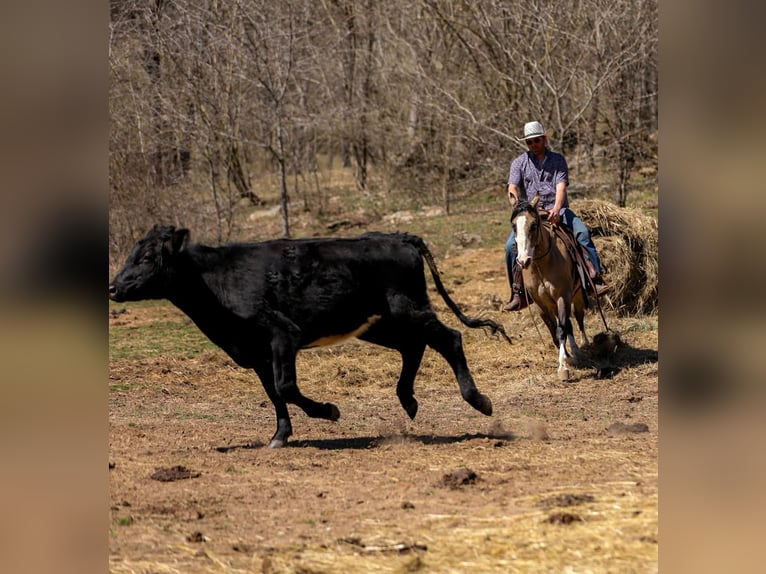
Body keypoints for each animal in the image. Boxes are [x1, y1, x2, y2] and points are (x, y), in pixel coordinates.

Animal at [510, 196, 590, 381]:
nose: (523, 260)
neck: (542, 264)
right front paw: (566, 358)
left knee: (578, 317)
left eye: (533, 224)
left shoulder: (563, 296)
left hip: (576, 296)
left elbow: (561, 330)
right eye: (513, 226)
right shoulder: (542, 303)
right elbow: (555, 330)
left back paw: (582, 346)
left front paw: (563, 368)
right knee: (567, 323)